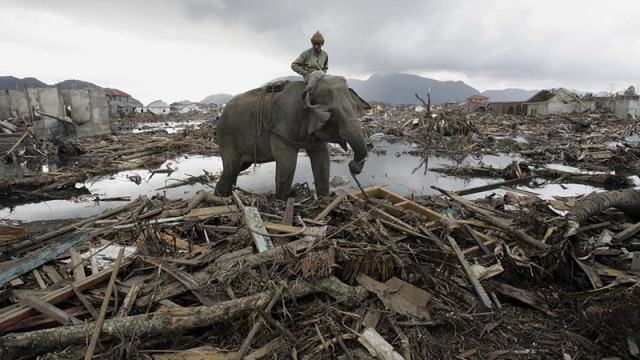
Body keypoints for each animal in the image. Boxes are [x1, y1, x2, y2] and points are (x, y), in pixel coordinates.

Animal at [216, 76, 370, 200]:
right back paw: (221, 198)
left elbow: (322, 160)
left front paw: (324, 200)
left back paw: (227, 196)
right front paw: (281, 202)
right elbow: (287, 162)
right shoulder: (283, 122)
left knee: (236, 169)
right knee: (231, 168)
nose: (352, 166)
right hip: (227, 136)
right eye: (333, 114)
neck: (307, 91)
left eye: (355, 108)